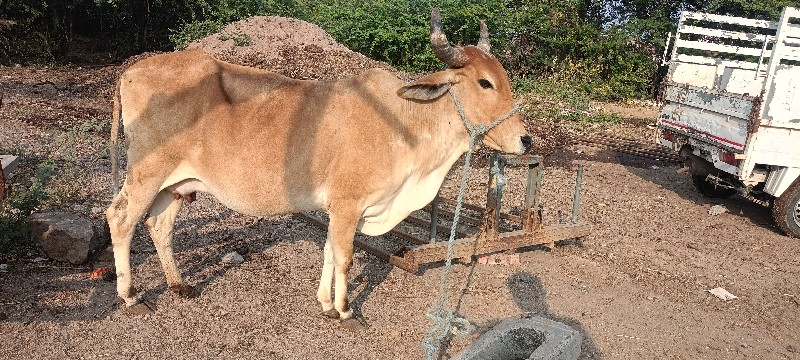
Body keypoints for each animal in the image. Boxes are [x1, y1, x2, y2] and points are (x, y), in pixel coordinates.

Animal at [106, 9, 532, 328]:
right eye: (484, 83)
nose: (525, 140)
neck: (404, 122)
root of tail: (131, 71)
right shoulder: (348, 204)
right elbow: (343, 257)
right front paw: (344, 310)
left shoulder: (341, 210)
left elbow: (329, 251)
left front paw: (326, 303)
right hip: (146, 174)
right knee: (121, 219)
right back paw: (130, 295)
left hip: (175, 184)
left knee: (158, 225)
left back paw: (178, 284)